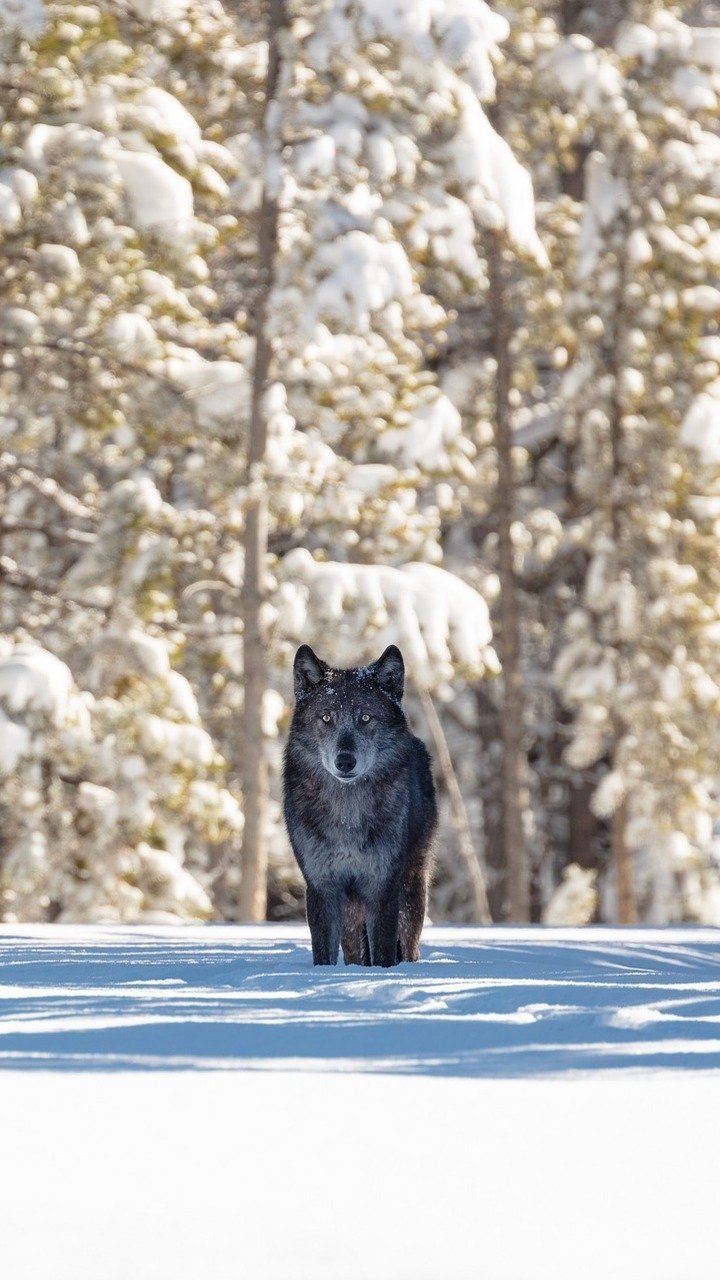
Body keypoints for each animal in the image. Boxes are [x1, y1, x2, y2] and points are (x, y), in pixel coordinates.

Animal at [283, 644, 438, 967]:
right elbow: (323, 954)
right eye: (326, 718)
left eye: (365, 718)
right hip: (352, 912)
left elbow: (383, 952)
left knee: (409, 945)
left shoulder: (383, 886)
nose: (345, 761)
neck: (347, 814)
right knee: (355, 950)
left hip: (411, 890)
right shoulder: (323, 886)